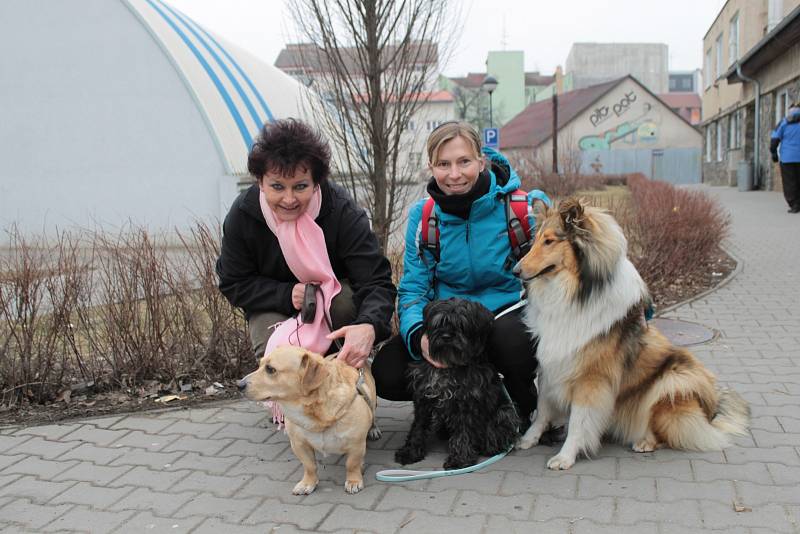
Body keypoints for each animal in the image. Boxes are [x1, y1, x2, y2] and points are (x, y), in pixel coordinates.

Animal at [238, 348, 378, 494]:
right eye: (259, 365)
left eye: (270, 369)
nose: (239, 385)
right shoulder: (299, 445)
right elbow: (309, 466)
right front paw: (308, 483)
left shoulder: (356, 445)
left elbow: (351, 464)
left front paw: (353, 480)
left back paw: (373, 430)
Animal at [396, 300, 520, 472]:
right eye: (439, 323)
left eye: (462, 324)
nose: (447, 336)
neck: (449, 365)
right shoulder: (423, 399)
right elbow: (418, 427)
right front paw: (410, 452)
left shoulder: (466, 404)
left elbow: (463, 432)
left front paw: (460, 460)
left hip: (505, 412)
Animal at [516, 199, 748, 472]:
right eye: (535, 240)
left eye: (550, 241)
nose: (515, 270)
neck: (572, 293)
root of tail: (713, 410)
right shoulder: (551, 363)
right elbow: (542, 409)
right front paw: (528, 438)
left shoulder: (592, 378)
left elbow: (579, 422)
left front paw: (565, 456)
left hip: (673, 380)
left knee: (670, 430)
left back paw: (645, 441)